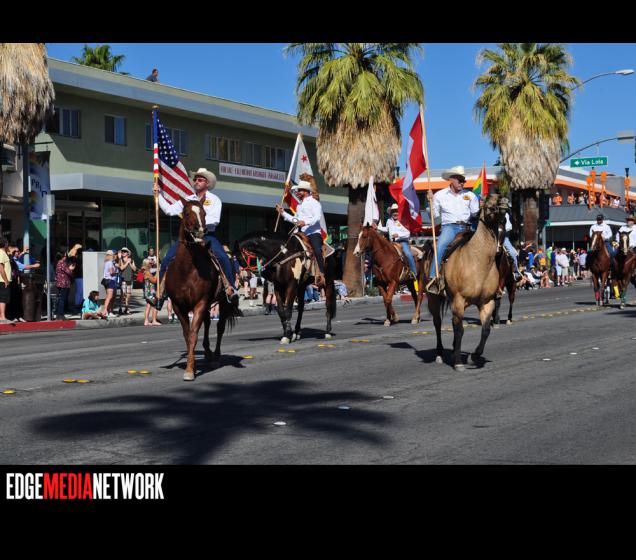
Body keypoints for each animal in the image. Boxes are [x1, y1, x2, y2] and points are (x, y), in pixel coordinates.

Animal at [164, 198, 241, 381]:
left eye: (204, 213)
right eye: (186, 213)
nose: (200, 231)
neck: (187, 269)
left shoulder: (200, 302)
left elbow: (193, 334)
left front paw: (189, 370)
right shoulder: (178, 305)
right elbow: (187, 335)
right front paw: (191, 363)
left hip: (223, 302)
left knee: (219, 327)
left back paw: (216, 356)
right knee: (207, 323)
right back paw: (207, 352)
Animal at [423, 194, 509, 371]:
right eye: (488, 198)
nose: (504, 201)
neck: (477, 262)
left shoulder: (487, 302)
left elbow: (485, 330)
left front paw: (475, 356)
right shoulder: (458, 300)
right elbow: (460, 330)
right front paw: (458, 362)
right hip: (433, 299)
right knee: (438, 324)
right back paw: (440, 354)